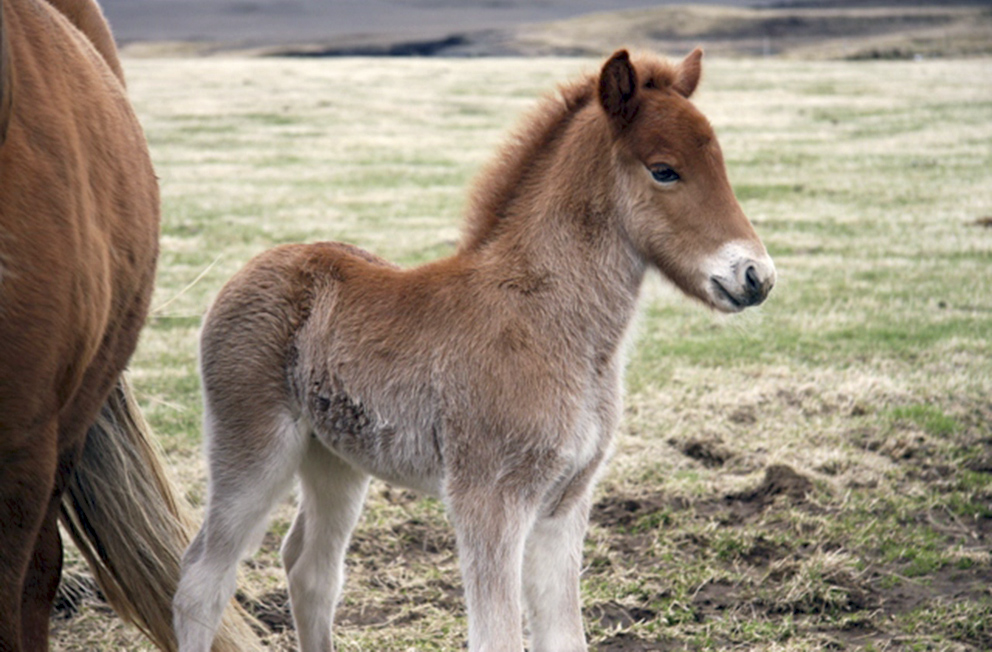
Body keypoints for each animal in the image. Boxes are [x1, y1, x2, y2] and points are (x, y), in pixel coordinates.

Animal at [173, 48, 775, 652]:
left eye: (721, 163)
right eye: (664, 170)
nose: (756, 276)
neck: (546, 321)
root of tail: (254, 266)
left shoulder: (565, 503)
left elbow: (564, 635)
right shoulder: (488, 500)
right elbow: (497, 636)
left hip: (335, 460)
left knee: (311, 570)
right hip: (254, 448)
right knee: (203, 576)